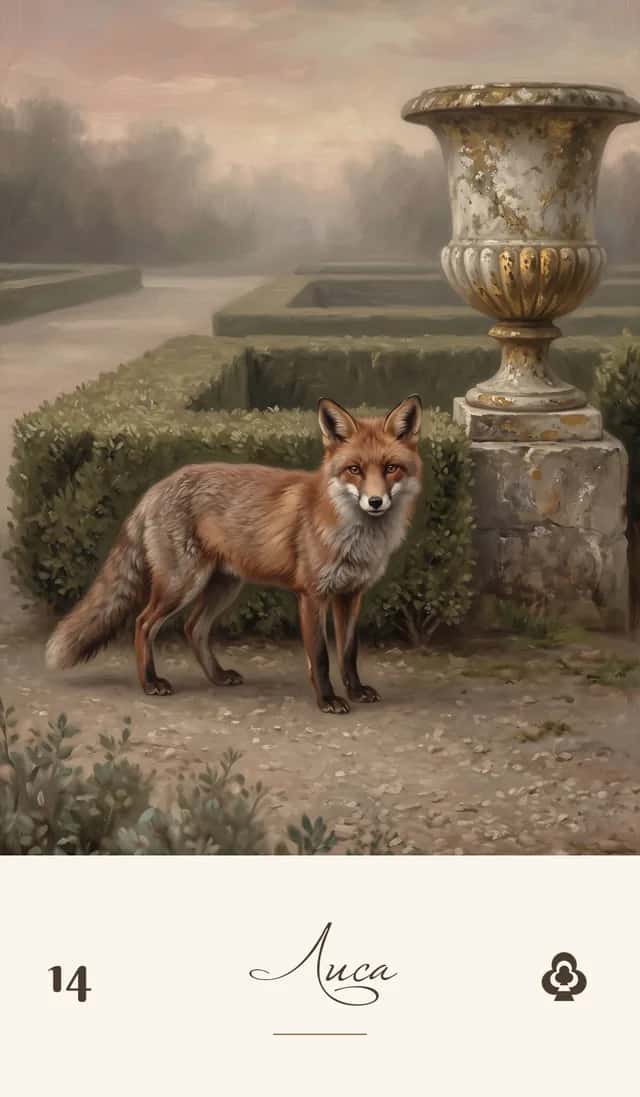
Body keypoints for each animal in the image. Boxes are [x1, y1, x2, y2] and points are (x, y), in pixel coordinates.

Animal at [46, 394, 423, 713]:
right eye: (354, 469)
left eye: (391, 468)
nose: (375, 501)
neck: (355, 537)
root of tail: (155, 487)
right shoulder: (313, 594)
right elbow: (320, 656)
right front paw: (328, 700)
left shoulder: (350, 594)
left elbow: (348, 653)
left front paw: (356, 691)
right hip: (181, 584)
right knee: (143, 623)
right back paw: (150, 682)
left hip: (223, 586)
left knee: (193, 628)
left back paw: (217, 676)